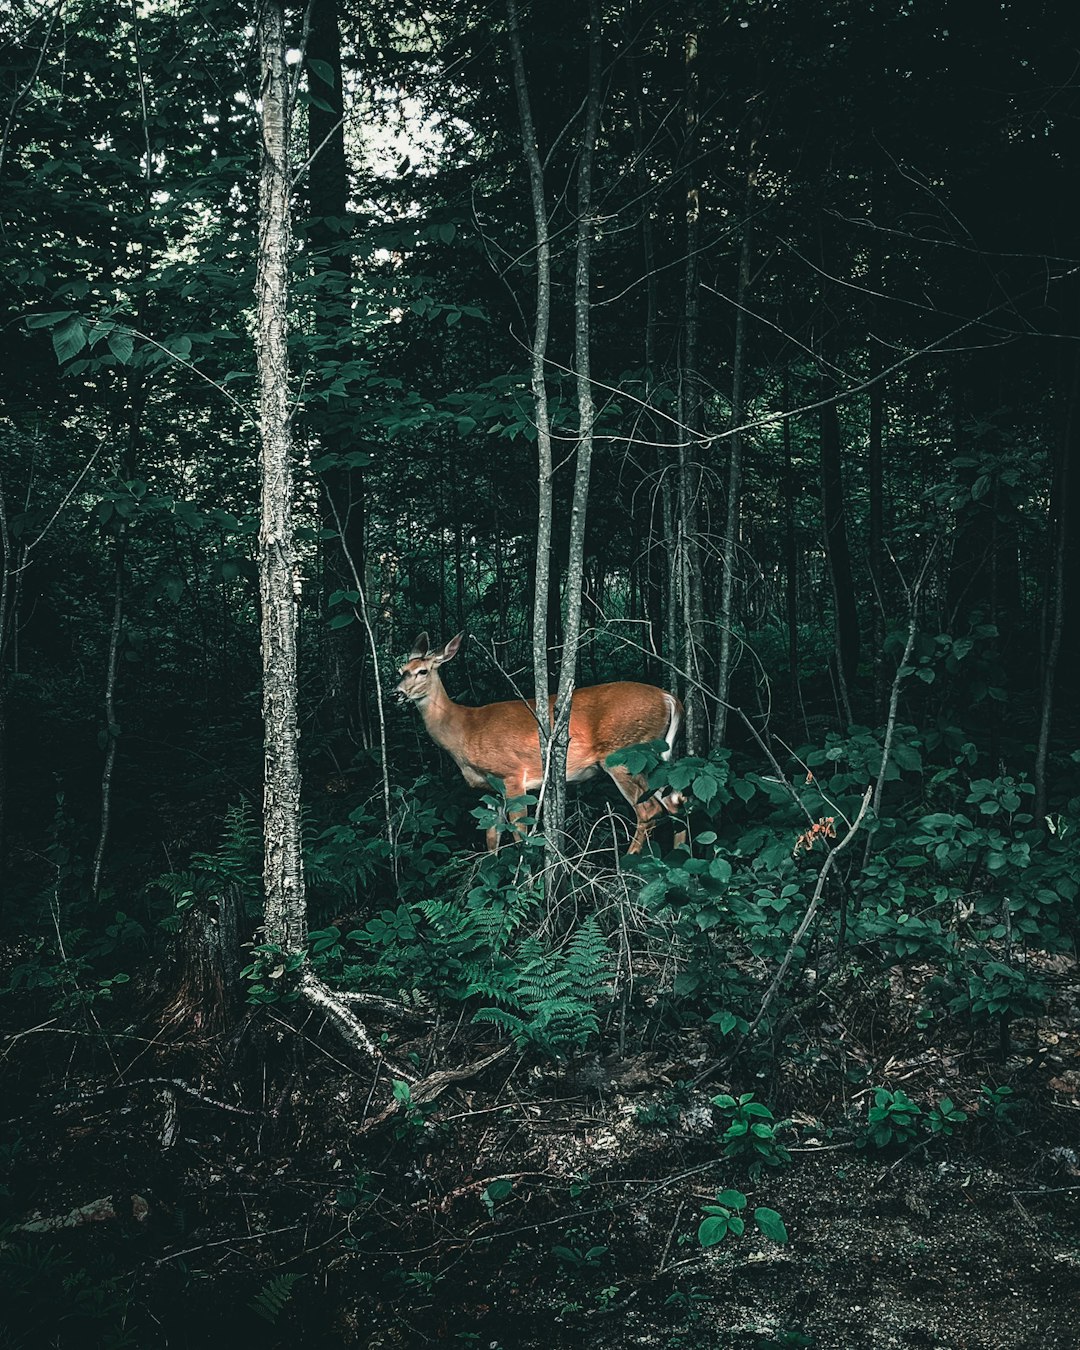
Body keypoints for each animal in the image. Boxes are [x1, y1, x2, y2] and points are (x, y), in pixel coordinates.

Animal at [394, 634, 683, 853]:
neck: (464, 728)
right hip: (654, 759)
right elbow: (491, 836)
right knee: (676, 801)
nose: (397, 693)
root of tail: (669, 698)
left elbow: (519, 833)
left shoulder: (511, 774)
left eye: (422, 671)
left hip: (624, 753)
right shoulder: (491, 788)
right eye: (400, 671)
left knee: (648, 811)